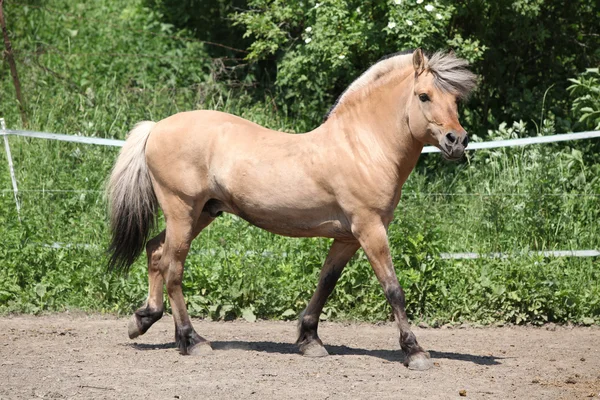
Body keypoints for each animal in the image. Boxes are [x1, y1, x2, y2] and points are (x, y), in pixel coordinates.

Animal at [105, 48, 476, 370]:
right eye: (424, 96)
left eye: (455, 100)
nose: (457, 141)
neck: (362, 145)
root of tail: (156, 127)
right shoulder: (370, 230)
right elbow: (393, 289)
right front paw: (415, 351)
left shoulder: (348, 238)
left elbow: (326, 282)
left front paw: (309, 340)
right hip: (182, 210)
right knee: (173, 268)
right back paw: (192, 340)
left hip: (201, 213)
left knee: (155, 251)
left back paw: (143, 320)